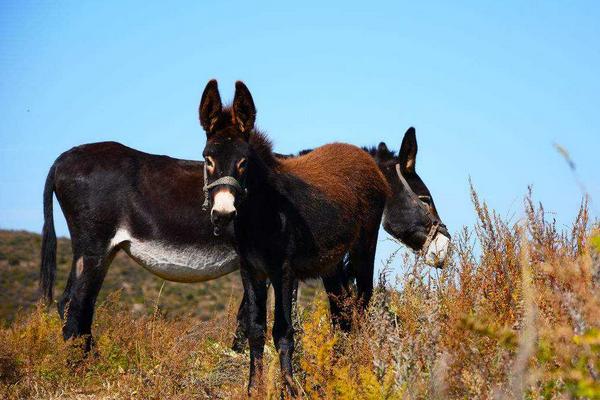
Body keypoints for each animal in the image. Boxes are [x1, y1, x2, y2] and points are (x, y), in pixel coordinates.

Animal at [200, 79, 394, 396]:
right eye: (208, 159)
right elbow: (255, 329)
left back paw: (357, 366)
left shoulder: (284, 271)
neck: (261, 211)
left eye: (243, 162)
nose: (224, 214)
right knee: (341, 314)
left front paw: (290, 389)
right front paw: (254, 390)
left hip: (365, 245)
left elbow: (282, 330)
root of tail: (360, 154)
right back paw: (334, 371)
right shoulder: (250, 270)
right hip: (331, 264)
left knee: (362, 303)